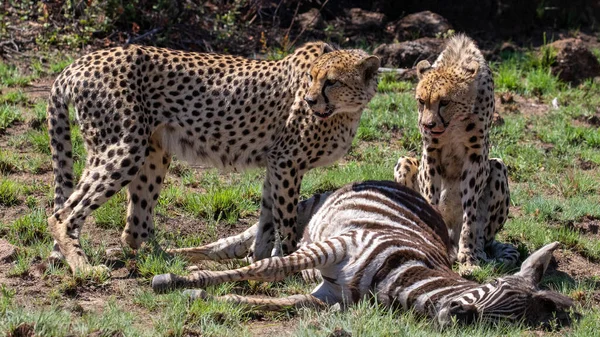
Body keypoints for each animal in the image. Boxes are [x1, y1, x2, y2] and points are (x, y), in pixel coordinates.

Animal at [49, 42, 382, 272]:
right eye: (312, 77)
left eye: (332, 81)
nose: (311, 100)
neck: (346, 112)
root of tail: (79, 62)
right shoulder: (287, 162)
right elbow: (285, 220)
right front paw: (288, 261)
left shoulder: (275, 165)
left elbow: (266, 219)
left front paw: (260, 261)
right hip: (124, 148)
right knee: (61, 215)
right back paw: (84, 267)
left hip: (154, 151)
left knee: (133, 228)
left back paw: (166, 260)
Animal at [154, 181, 576, 326]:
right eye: (497, 286)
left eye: (506, 323)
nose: (460, 315)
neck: (398, 280)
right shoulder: (338, 244)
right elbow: (268, 268)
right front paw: (179, 281)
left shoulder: (331, 297)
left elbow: (278, 301)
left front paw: (209, 296)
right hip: (308, 208)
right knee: (237, 243)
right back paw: (170, 256)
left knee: (242, 250)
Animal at [392, 34, 516, 270]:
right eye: (421, 101)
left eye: (445, 102)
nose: (427, 125)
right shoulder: (431, 151)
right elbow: (430, 197)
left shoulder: (476, 154)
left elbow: (470, 212)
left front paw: (468, 254)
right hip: (404, 162)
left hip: (497, 167)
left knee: (483, 236)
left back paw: (475, 251)